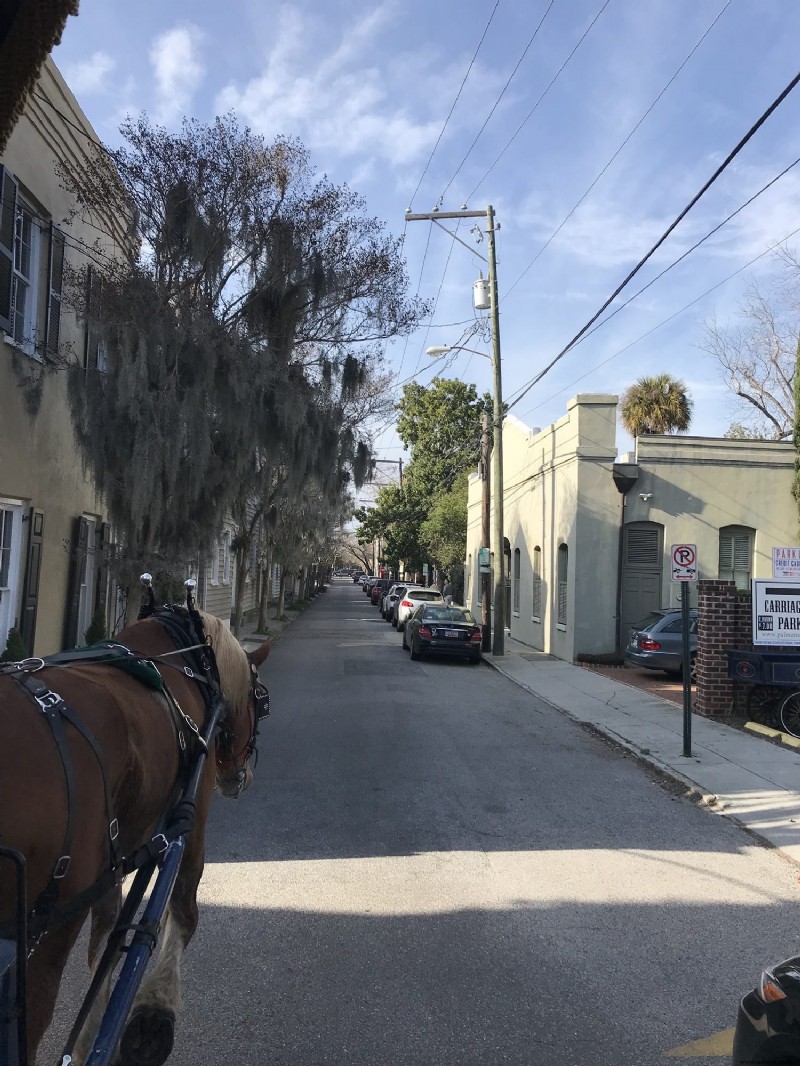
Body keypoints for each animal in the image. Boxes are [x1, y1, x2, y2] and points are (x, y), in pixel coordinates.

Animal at [0, 605, 273, 1061]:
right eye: (260, 700)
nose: (240, 778)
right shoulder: (190, 819)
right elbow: (181, 910)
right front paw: (154, 1015)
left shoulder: (112, 851)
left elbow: (108, 937)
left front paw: (88, 1035)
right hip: (51, 921)